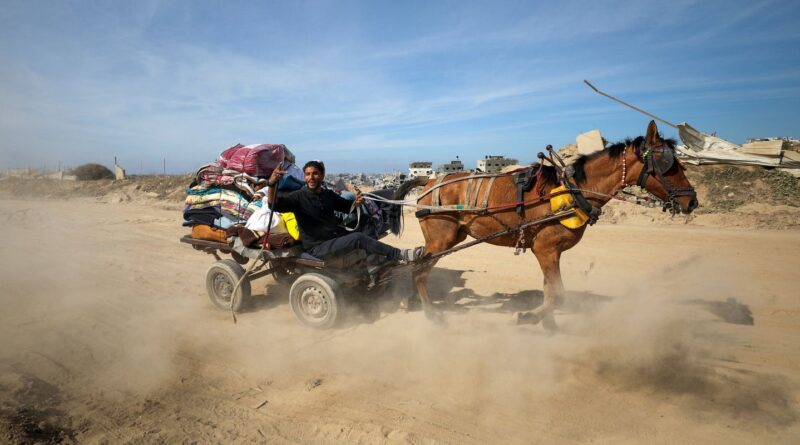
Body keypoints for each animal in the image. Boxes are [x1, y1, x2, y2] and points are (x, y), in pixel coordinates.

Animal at [412, 121, 700, 330]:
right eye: (669, 164)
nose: (692, 201)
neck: (574, 190)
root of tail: (428, 182)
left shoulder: (551, 252)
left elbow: (549, 290)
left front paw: (548, 324)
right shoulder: (545, 248)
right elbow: (558, 294)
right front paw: (529, 317)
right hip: (441, 240)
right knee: (419, 271)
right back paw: (431, 315)